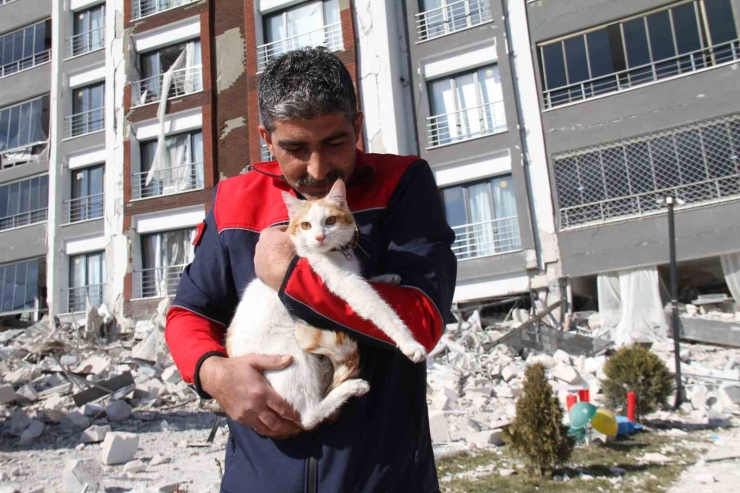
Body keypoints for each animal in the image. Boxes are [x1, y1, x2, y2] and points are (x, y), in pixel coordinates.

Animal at [223, 180, 424, 430]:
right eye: (306, 225)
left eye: (330, 221)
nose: (319, 237)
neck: (335, 255)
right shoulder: (347, 284)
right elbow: (380, 308)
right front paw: (410, 343)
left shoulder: (354, 275)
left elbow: (370, 282)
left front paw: (387, 277)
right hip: (294, 353)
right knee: (309, 416)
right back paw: (350, 388)